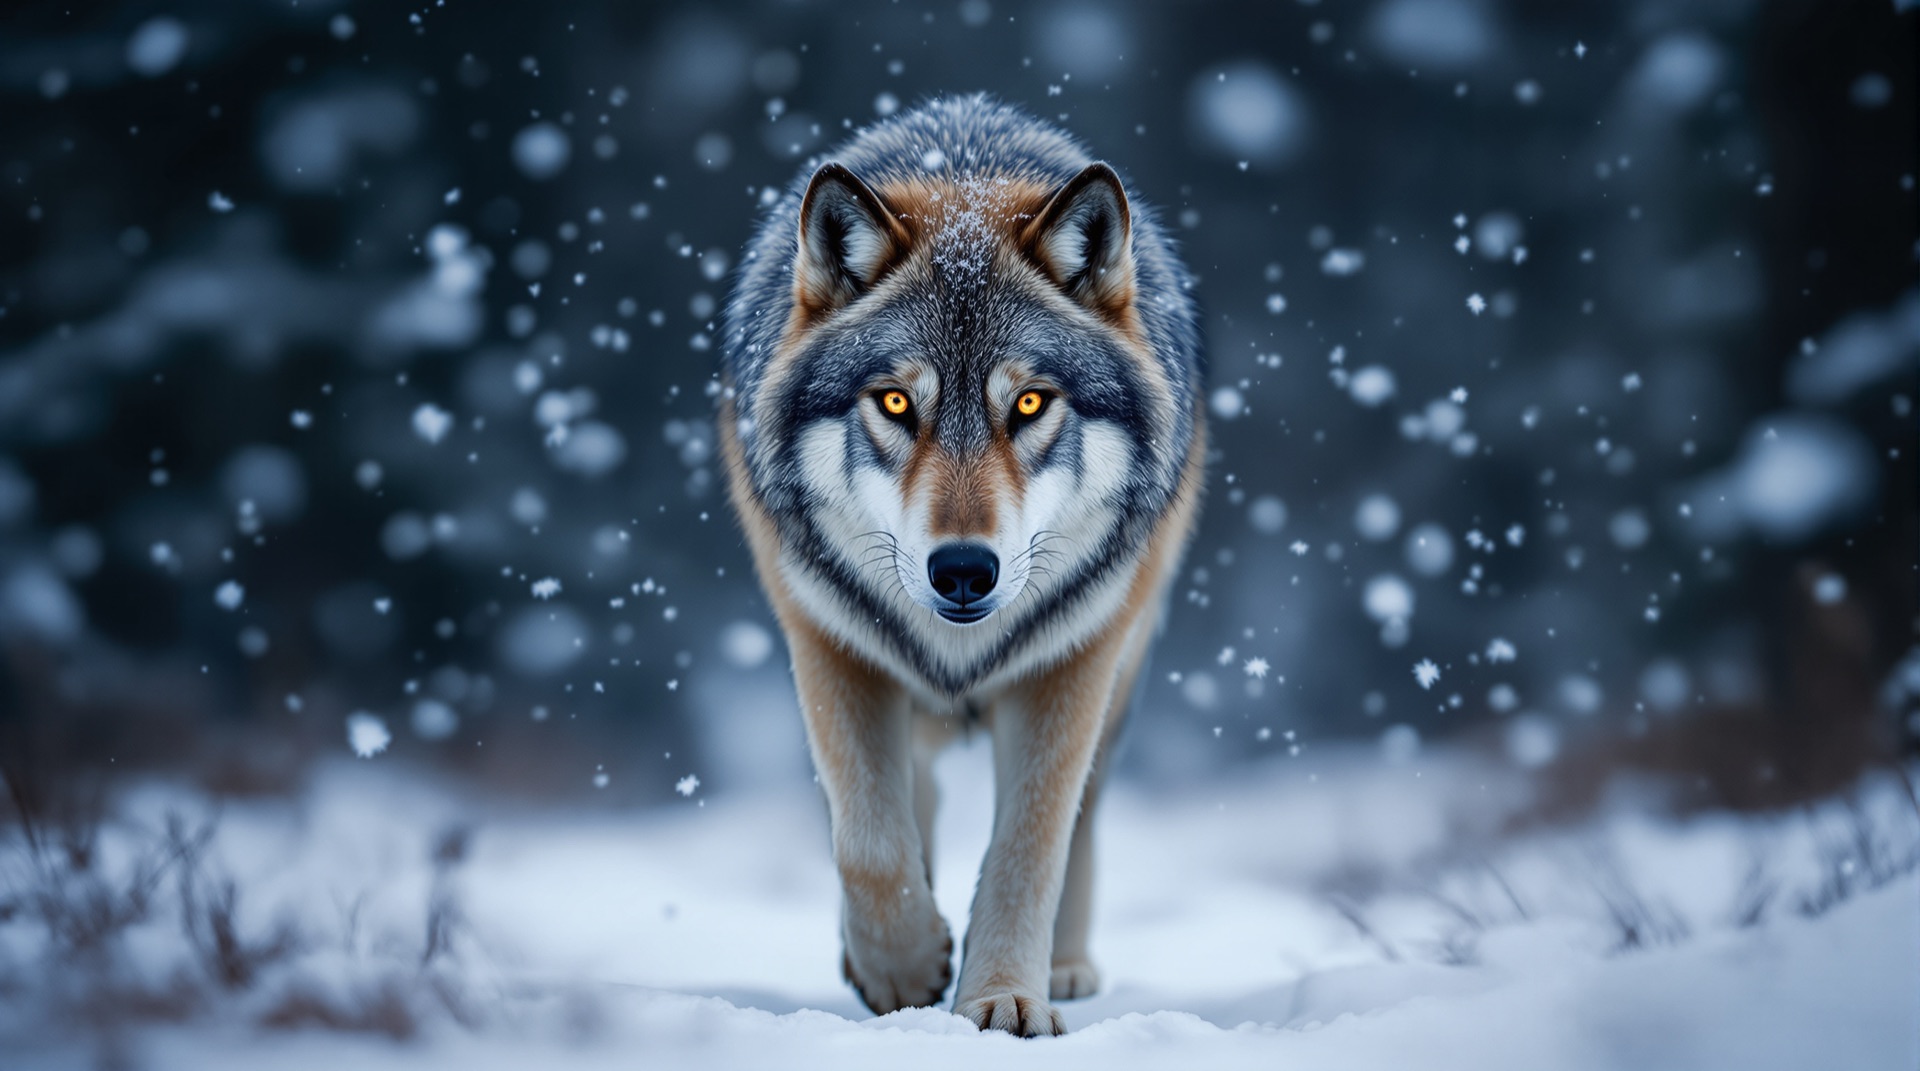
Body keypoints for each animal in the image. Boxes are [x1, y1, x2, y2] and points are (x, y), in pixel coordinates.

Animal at [718, 95, 1204, 1037]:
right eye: (896, 402)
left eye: (1030, 403)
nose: (964, 571)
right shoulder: (828, 643)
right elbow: (868, 839)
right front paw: (903, 971)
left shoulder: (1072, 661)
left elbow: (1033, 843)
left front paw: (1003, 999)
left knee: (1084, 813)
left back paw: (1065, 966)